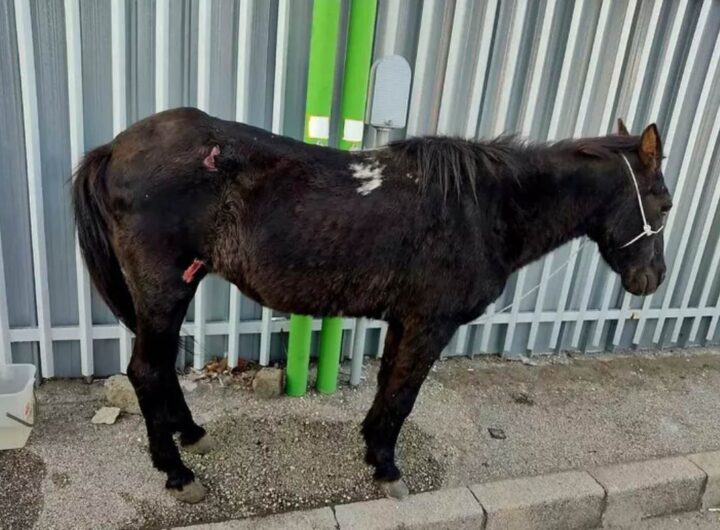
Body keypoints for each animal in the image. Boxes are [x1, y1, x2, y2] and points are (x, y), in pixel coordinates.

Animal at [72, 107, 672, 503]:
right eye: (663, 201)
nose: (654, 279)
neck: (483, 207)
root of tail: (115, 148)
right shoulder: (430, 323)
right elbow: (403, 396)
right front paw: (386, 467)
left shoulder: (405, 321)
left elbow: (388, 388)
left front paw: (371, 448)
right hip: (165, 288)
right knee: (146, 370)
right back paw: (176, 472)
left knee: (160, 367)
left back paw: (192, 434)